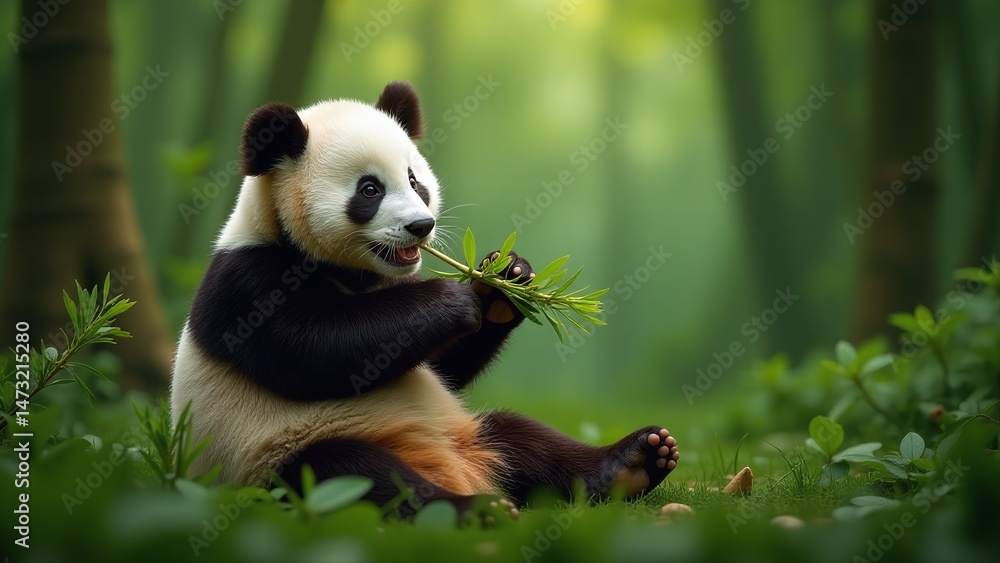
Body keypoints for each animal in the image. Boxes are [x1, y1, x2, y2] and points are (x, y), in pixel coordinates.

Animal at [170, 81, 679, 517]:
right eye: (370, 189)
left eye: (416, 181)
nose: (421, 226)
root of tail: (459, 470)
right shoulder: (246, 281)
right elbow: (315, 349)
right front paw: (450, 301)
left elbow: (440, 368)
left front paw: (504, 281)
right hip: (274, 459)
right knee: (353, 475)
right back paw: (474, 511)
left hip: (469, 432)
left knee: (521, 436)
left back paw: (632, 462)